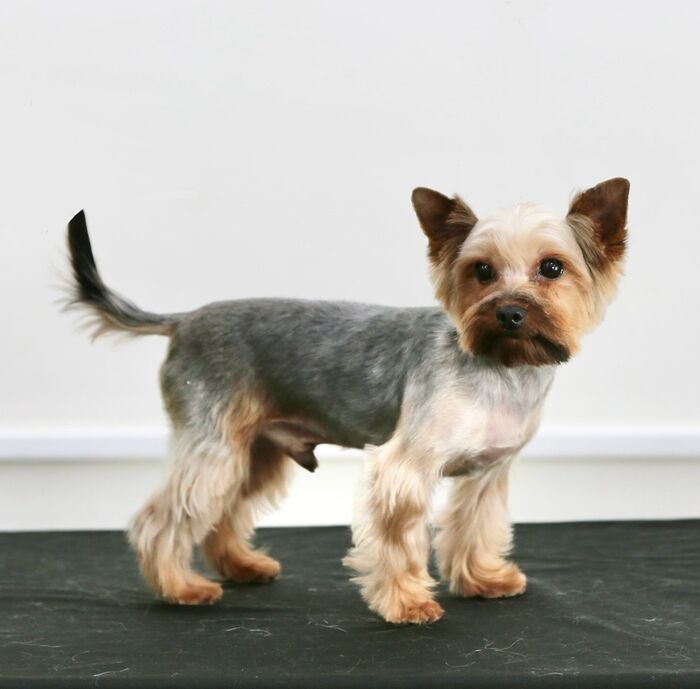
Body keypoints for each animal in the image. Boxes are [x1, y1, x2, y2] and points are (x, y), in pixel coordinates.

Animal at [65, 177, 628, 624]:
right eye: (482, 272)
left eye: (552, 268)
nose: (509, 313)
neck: (502, 367)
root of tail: (183, 320)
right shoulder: (404, 468)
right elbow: (399, 539)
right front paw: (407, 604)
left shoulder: (488, 473)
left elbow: (475, 526)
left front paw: (482, 580)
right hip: (214, 441)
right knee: (162, 518)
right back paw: (180, 587)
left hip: (254, 448)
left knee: (223, 510)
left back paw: (242, 567)